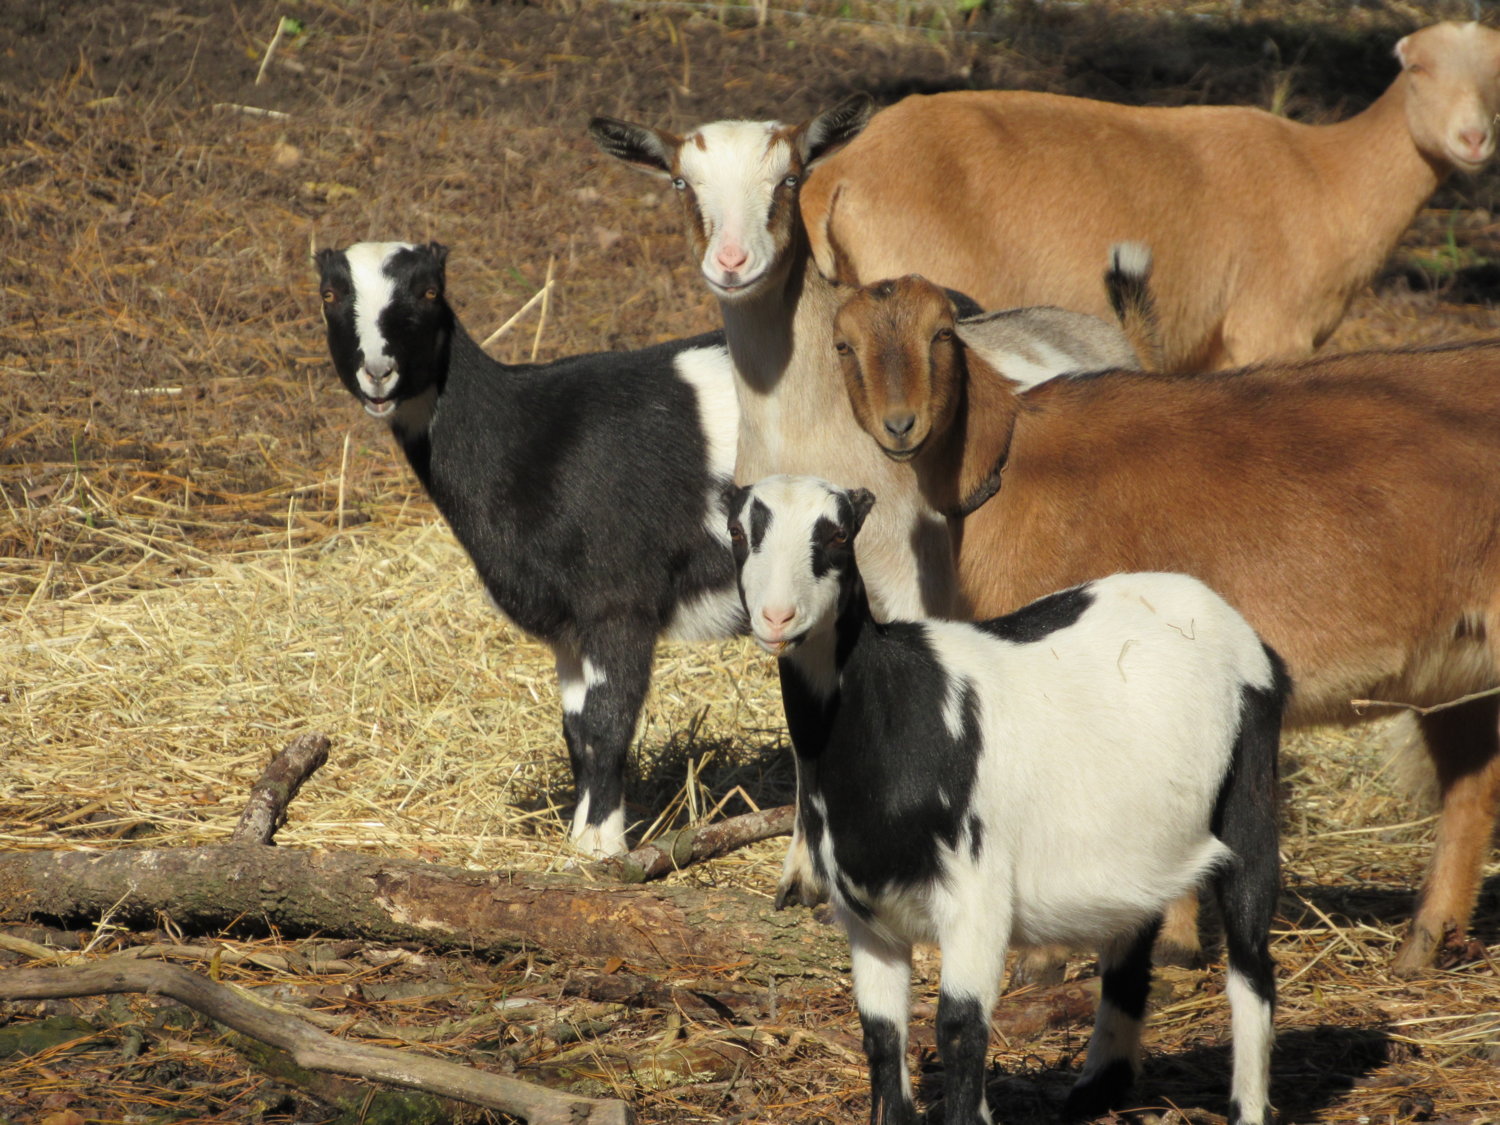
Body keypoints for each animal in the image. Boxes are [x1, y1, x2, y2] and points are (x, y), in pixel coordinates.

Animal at [318, 243, 744, 858]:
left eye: (429, 291)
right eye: (330, 294)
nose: (378, 372)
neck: (522, 436)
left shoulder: (618, 599)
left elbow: (610, 720)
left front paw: (601, 849)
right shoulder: (568, 627)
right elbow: (577, 729)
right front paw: (578, 837)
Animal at [729, 474, 1290, 1125]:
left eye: (839, 534)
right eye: (738, 532)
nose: (777, 617)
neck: (895, 707)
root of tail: (1235, 625)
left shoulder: (976, 895)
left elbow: (958, 1027)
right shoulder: (866, 915)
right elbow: (881, 1033)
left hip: (1250, 788)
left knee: (1251, 964)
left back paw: (1246, 1103)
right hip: (1140, 845)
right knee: (1129, 956)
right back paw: (1097, 1087)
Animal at [840, 276, 1500, 978]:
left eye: (941, 333)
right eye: (843, 344)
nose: (901, 425)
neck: (1013, 459)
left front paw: (1084, 955)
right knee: (1471, 790)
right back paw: (1423, 945)